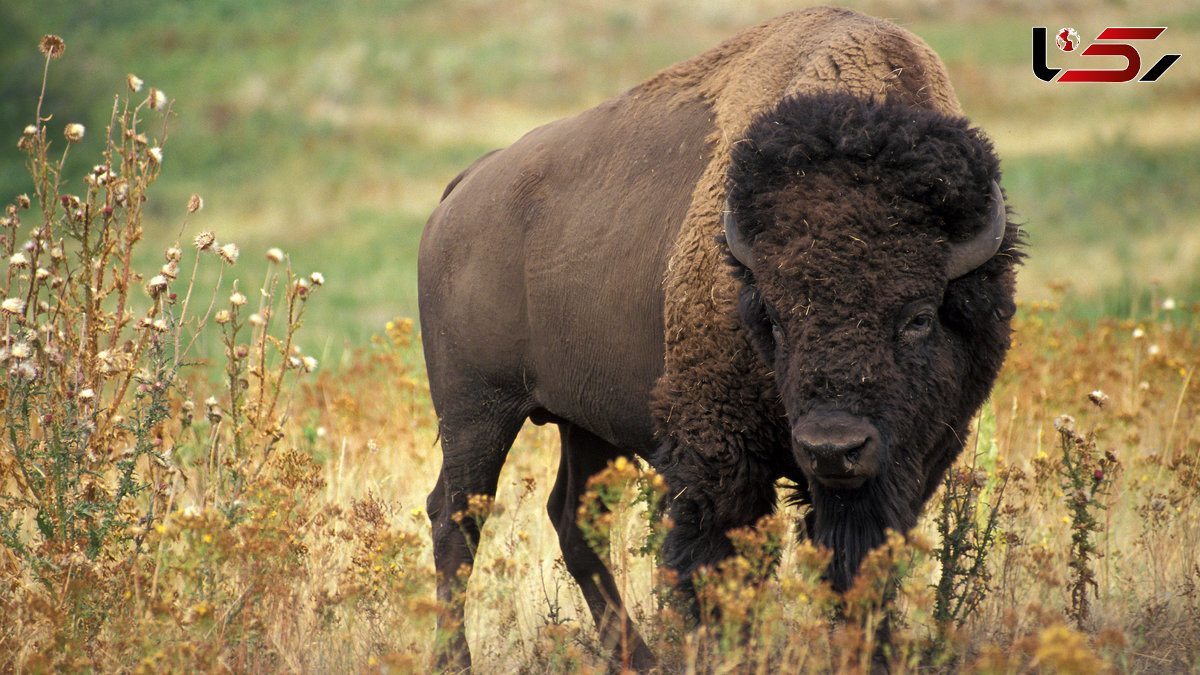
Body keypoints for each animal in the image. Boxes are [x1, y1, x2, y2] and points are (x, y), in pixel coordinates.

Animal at [420, 5, 1022, 667]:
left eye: (918, 317)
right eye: (775, 318)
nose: (832, 448)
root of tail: (463, 189)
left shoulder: (908, 462)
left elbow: (861, 566)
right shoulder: (717, 453)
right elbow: (718, 564)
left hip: (583, 421)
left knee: (571, 518)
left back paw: (639, 659)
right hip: (476, 412)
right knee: (456, 520)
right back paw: (456, 660)